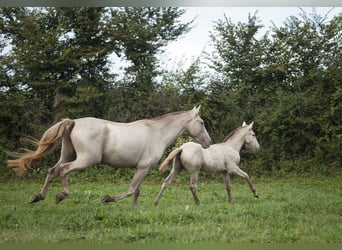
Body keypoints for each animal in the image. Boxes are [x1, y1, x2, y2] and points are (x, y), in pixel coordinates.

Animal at [7, 106, 211, 206]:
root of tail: (73, 122)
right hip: (86, 159)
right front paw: (107, 199)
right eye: (201, 122)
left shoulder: (142, 168)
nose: (208, 142)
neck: (157, 132)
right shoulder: (143, 167)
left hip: (68, 154)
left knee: (52, 171)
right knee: (64, 171)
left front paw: (134, 211)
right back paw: (60, 196)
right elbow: (131, 190)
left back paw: (37, 197)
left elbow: (137, 191)